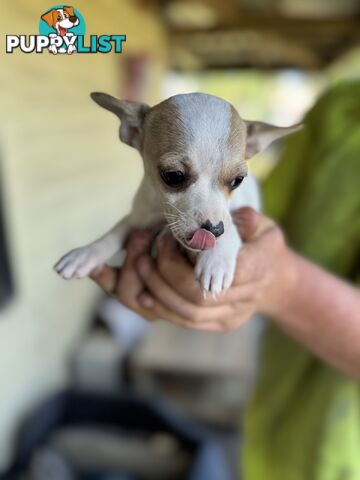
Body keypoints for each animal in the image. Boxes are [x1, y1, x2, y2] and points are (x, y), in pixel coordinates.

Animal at [53, 93, 300, 296]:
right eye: (173, 176)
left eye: (237, 181)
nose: (213, 230)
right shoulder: (139, 218)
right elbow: (114, 233)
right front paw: (86, 253)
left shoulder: (235, 214)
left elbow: (231, 225)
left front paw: (216, 260)